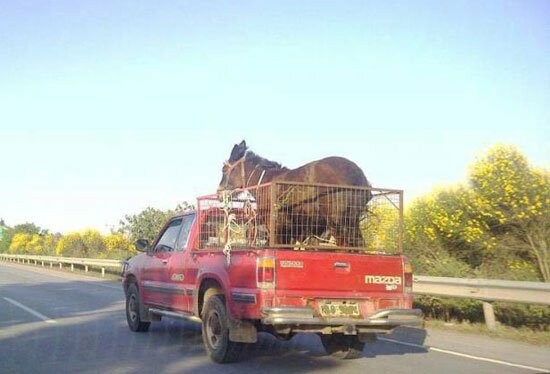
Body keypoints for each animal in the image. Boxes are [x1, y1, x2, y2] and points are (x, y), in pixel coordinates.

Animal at [218, 139, 374, 247]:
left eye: (224, 170)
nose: (219, 193)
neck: (266, 182)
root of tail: (359, 177)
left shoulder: (277, 228)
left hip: (338, 224)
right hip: (351, 222)